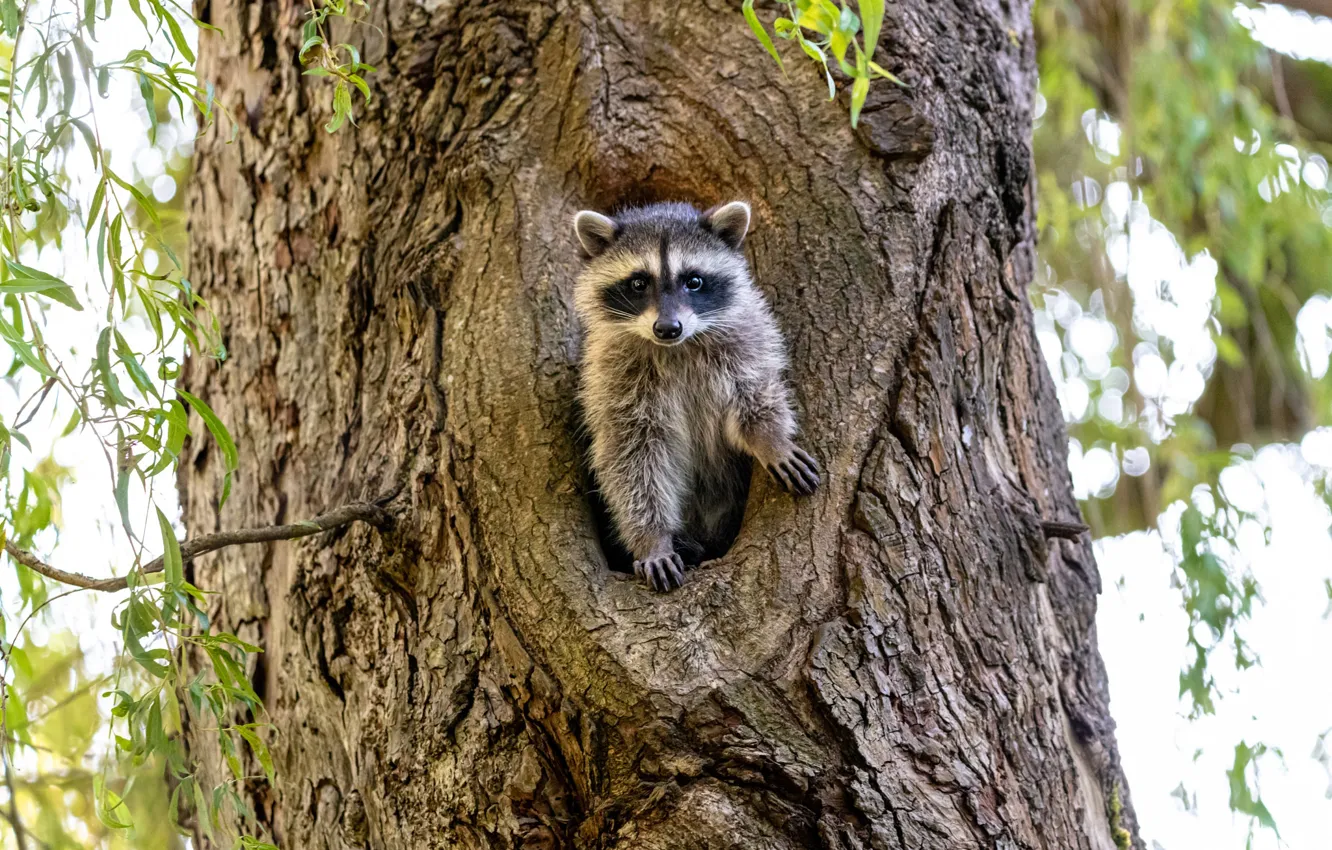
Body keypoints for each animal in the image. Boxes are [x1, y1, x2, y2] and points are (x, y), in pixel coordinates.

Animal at [572, 200, 820, 592]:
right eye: (639, 282)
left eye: (694, 281)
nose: (667, 328)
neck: (677, 347)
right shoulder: (612, 376)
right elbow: (633, 456)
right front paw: (652, 539)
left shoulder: (744, 338)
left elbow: (755, 391)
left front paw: (770, 439)